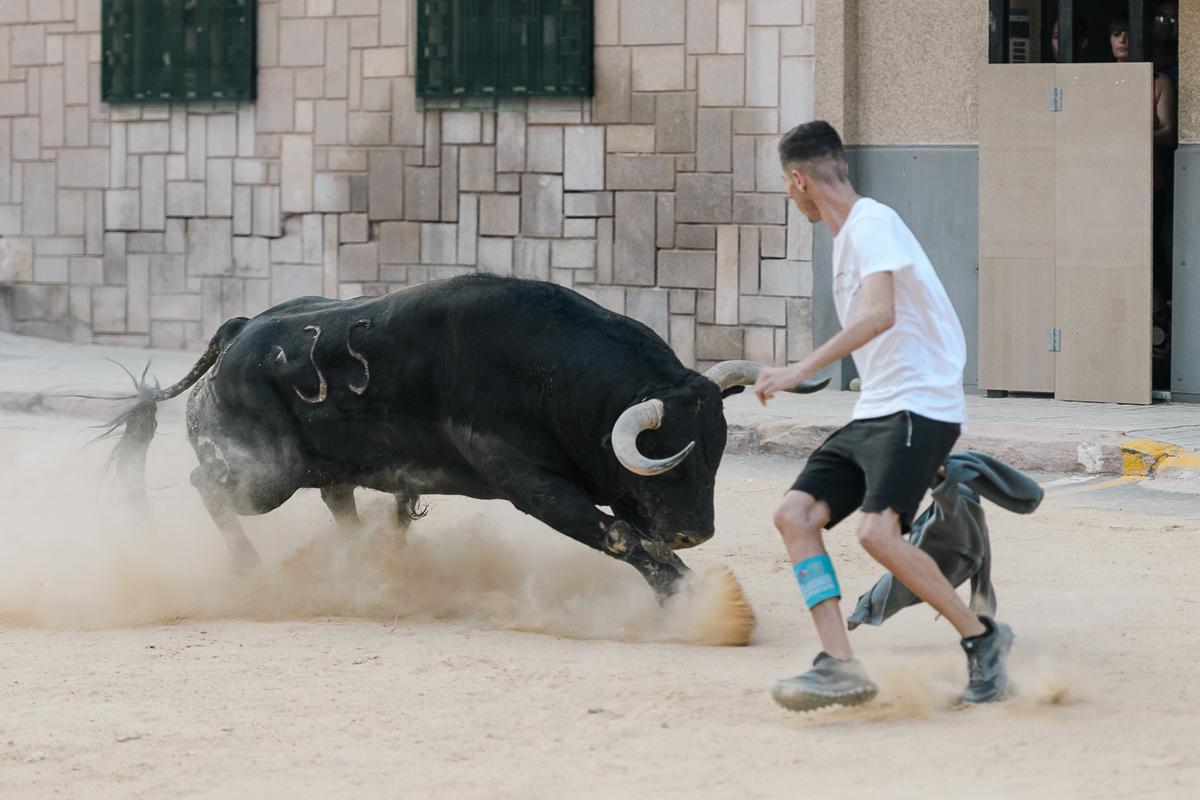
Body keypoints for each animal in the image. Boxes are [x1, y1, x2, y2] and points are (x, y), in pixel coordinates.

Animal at [105, 275, 825, 599]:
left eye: (716, 453)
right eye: (666, 456)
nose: (694, 532)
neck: (554, 373)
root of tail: (241, 331)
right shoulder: (534, 486)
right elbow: (620, 535)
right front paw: (692, 596)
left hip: (317, 469)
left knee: (339, 503)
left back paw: (370, 564)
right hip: (267, 477)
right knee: (207, 483)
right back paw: (248, 566)